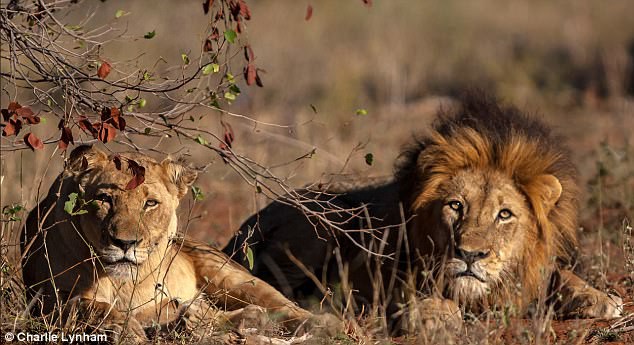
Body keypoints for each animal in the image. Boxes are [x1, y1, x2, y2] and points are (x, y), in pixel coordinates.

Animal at [19, 144, 330, 340]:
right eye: (104, 199)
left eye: (150, 203)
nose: (125, 243)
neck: (119, 280)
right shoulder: (47, 301)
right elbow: (91, 307)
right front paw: (128, 330)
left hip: (228, 275)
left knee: (286, 307)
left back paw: (323, 325)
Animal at [223, 95, 624, 332]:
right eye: (455, 205)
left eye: (505, 215)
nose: (470, 255)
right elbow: (416, 294)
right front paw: (434, 314)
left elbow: (560, 275)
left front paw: (600, 298)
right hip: (322, 226)